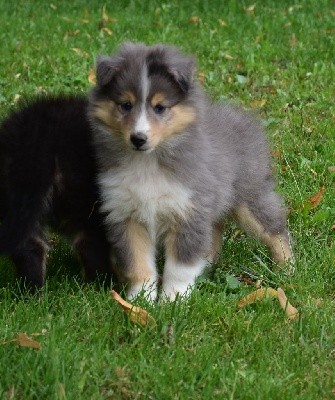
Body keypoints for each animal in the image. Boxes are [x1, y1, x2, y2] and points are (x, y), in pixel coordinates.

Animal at [0, 97, 113, 290]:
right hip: (85, 197)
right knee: (91, 243)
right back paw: (100, 286)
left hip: (14, 195)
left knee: (29, 246)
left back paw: (31, 290)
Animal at [88, 43, 294, 300]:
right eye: (126, 105)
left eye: (160, 108)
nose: (138, 139)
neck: (148, 162)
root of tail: (244, 118)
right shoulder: (125, 216)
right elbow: (138, 266)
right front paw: (140, 301)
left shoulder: (188, 211)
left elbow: (179, 267)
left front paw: (172, 300)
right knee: (215, 231)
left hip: (251, 196)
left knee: (276, 228)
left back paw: (287, 269)